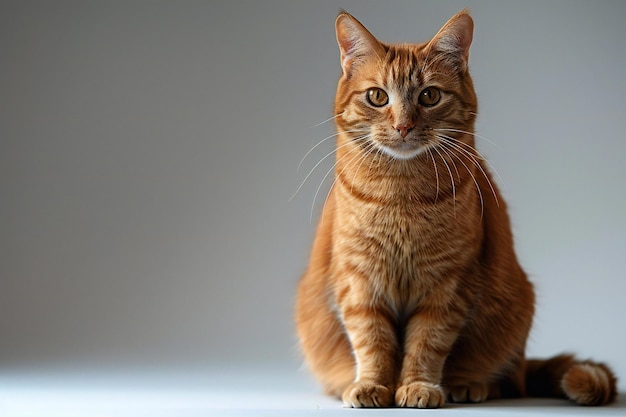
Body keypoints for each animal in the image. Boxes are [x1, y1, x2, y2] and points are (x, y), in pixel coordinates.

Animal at [294, 8, 616, 406]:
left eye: (429, 96)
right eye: (377, 96)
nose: (403, 126)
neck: (402, 195)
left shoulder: (448, 283)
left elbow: (426, 342)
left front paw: (418, 386)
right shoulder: (359, 280)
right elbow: (372, 340)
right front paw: (373, 385)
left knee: (510, 381)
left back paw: (469, 385)